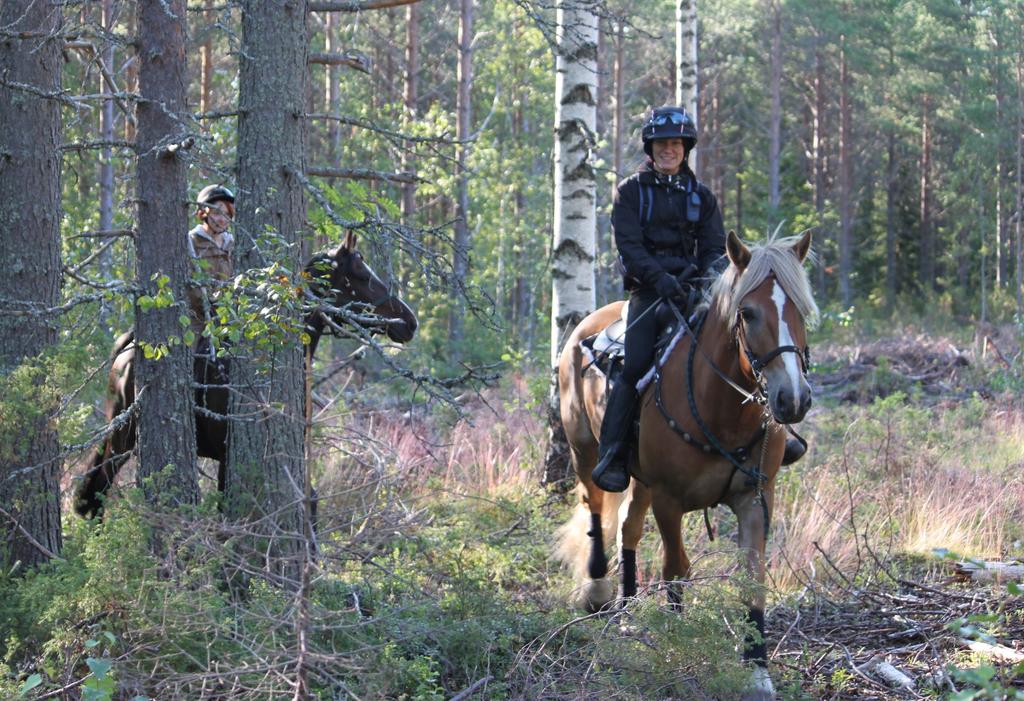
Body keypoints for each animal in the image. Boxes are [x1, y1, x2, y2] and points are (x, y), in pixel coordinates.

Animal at [72, 232, 417, 515]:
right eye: (360, 274)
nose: (409, 321)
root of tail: (126, 348)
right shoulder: (229, 453)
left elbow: (309, 499)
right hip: (122, 437)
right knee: (98, 487)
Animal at [557, 231, 811, 699]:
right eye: (747, 313)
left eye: (800, 309)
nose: (793, 398)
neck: (722, 408)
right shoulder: (670, 501)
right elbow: (676, 569)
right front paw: (675, 646)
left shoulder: (755, 498)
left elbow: (752, 578)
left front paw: (757, 672)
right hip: (586, 452)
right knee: (596, 508)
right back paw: (598, 591)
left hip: (640, 479)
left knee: (628, 527)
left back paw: (627, 611)